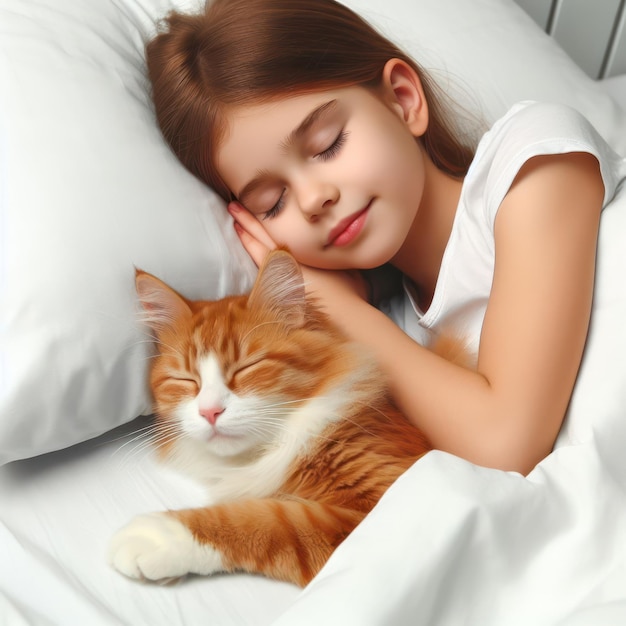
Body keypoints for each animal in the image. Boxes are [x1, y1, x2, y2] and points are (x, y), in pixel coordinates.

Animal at [107, 249, 432, 584]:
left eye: (246, 368)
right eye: (186, 380)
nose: (210, 411)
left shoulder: (378, 499)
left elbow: (265, 520)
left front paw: (161, 535)